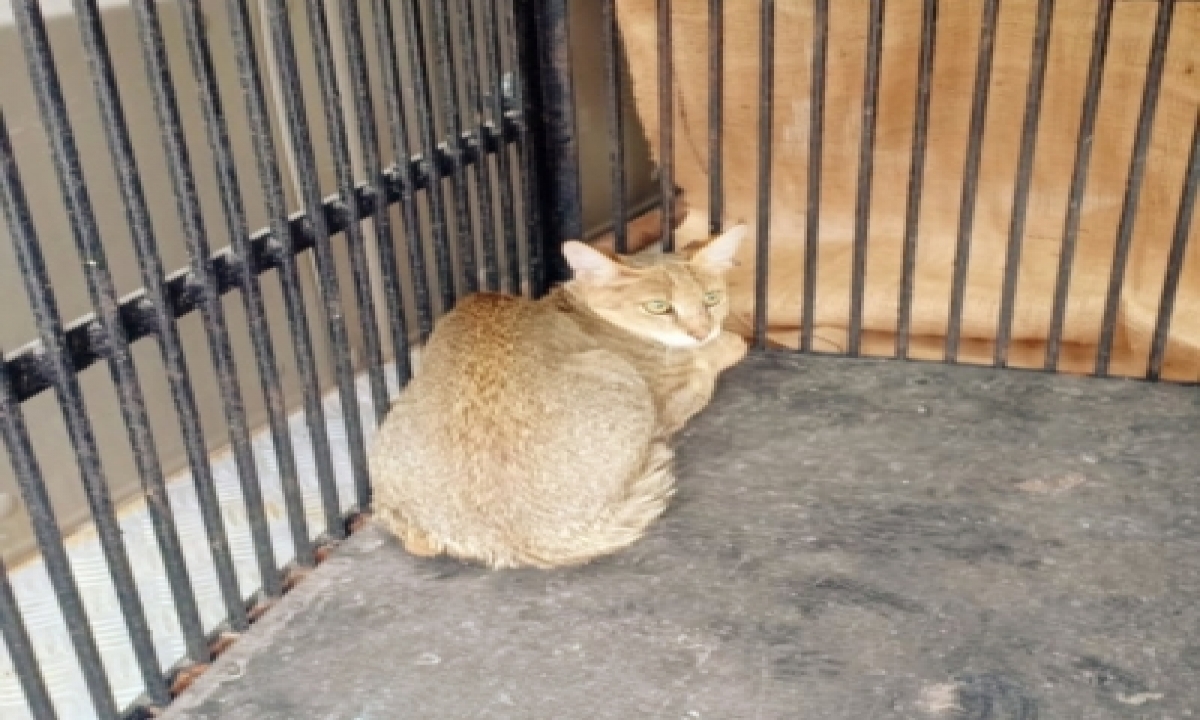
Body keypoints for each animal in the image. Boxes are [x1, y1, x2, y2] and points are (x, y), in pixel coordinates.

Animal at [367, 225, 748, 568]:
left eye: (711, 299)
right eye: (658, 307)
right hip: (614, 371)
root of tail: (510, 536)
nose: (702, 330)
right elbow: (721, 356)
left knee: (417, 541)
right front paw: (723, 345)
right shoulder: (671, 398)